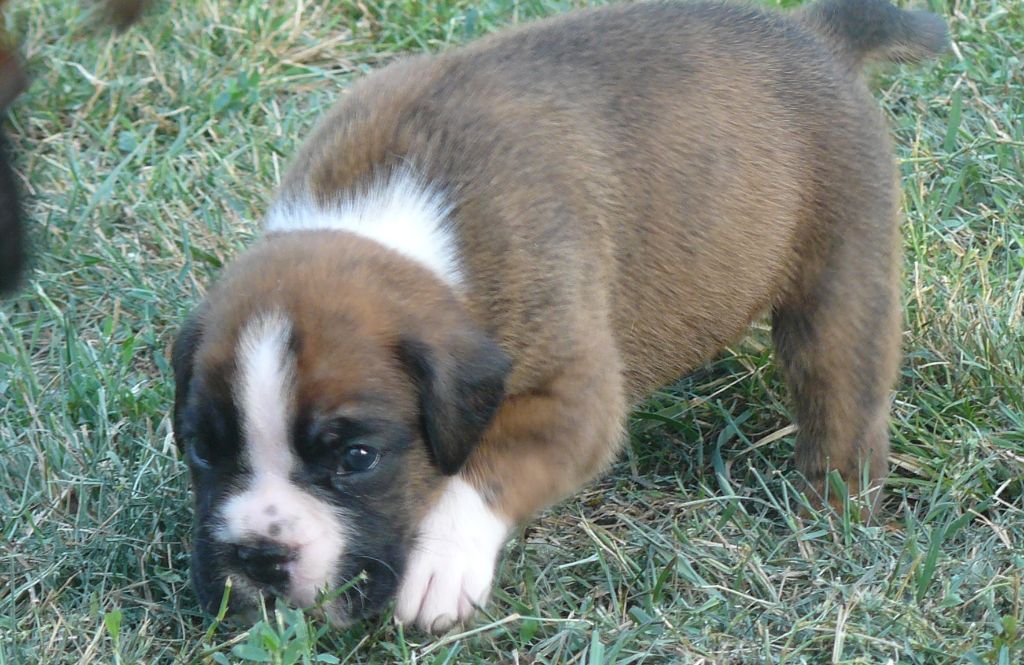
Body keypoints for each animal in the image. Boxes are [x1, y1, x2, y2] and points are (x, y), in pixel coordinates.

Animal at [172, 0, 946, 631]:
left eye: (357, 458)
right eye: (202, 449)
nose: (259, 554)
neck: (396, 225)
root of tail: (817, 36)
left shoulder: (573, 402)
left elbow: (485, 472)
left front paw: (441, 564)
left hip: (841, 285)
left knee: (842, 404)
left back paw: (833, 516)